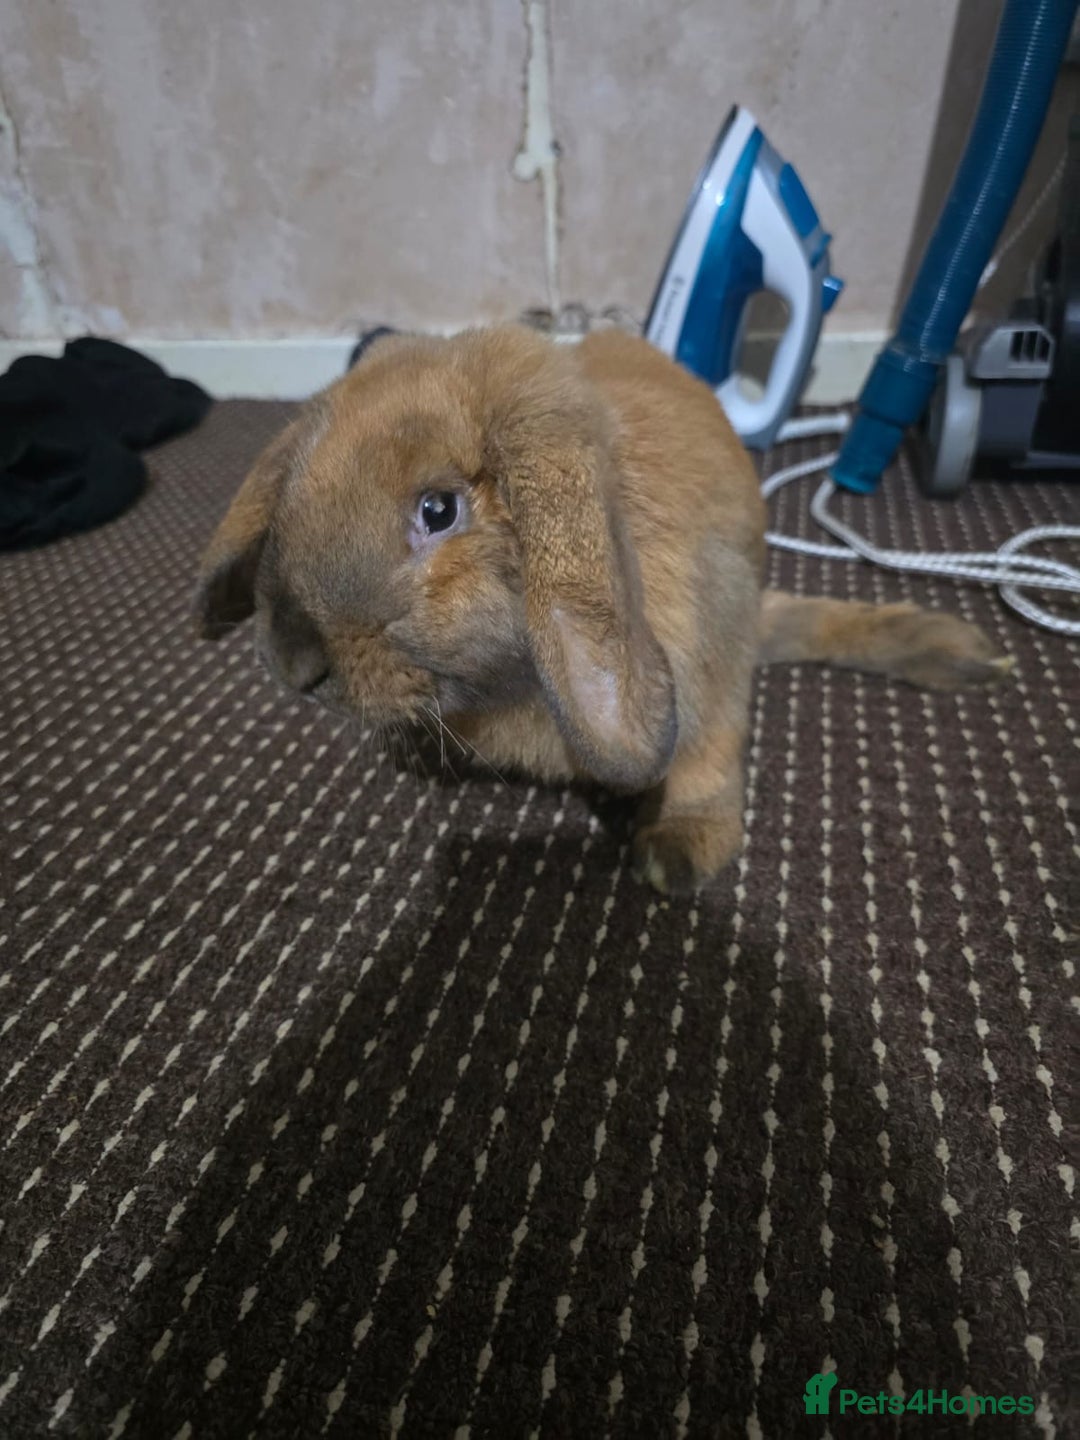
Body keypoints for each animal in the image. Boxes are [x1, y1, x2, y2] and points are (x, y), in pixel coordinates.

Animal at [195, 325, 1008, 894]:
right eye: (295, 483)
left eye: (439, 510)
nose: (293, 664)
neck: (514, 683)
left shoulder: (711, 668)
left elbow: (706, 759)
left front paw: (676, 857)